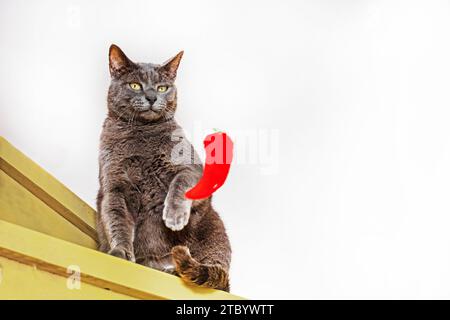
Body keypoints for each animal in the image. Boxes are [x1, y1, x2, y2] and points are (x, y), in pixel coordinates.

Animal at [97, 43, 232, 292]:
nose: (151, 97)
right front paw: (120, 252)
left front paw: (174, 216)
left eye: (162, 87)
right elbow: (116, 218)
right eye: (135, 85)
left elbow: (179, 182)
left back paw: (172, 269)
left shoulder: (192, 168)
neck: (141, 135)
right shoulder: (114, 185)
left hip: (214, 231)